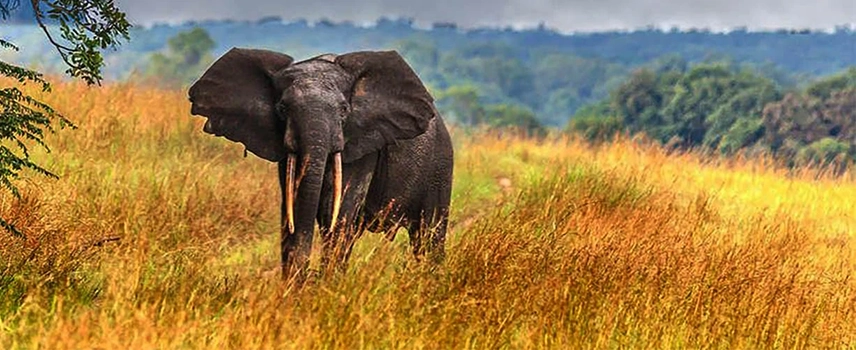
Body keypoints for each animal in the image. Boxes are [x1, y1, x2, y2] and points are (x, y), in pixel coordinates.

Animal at [187, 47, 454, 280]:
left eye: (344, 110)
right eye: (282, 109)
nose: (308, 277)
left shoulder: (360, 145)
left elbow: (336, 210)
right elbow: (294, 206)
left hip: (440, 166)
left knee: (428, 236)